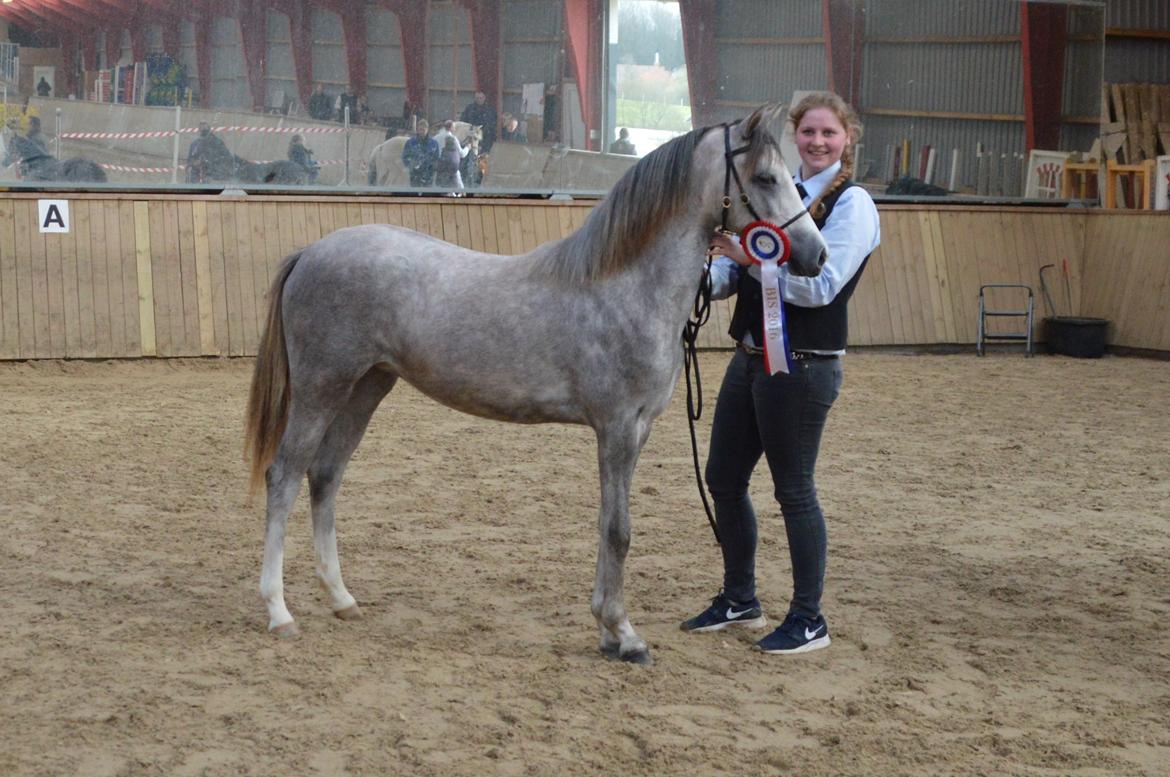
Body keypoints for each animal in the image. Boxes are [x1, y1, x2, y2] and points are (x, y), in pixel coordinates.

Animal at [244, 105, 828, 665]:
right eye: (766, 177)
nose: (815, 255)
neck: (624, 285)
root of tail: (311, 252)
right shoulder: (617, 428)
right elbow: (619, 532)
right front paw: (626, 635)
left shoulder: (634, 432)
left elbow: (608, 524)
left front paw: (607, 630)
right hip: (322, 388)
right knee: (285, 476)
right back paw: (278, 611)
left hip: (366, 388)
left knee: (325, 477)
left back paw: (341, 599)